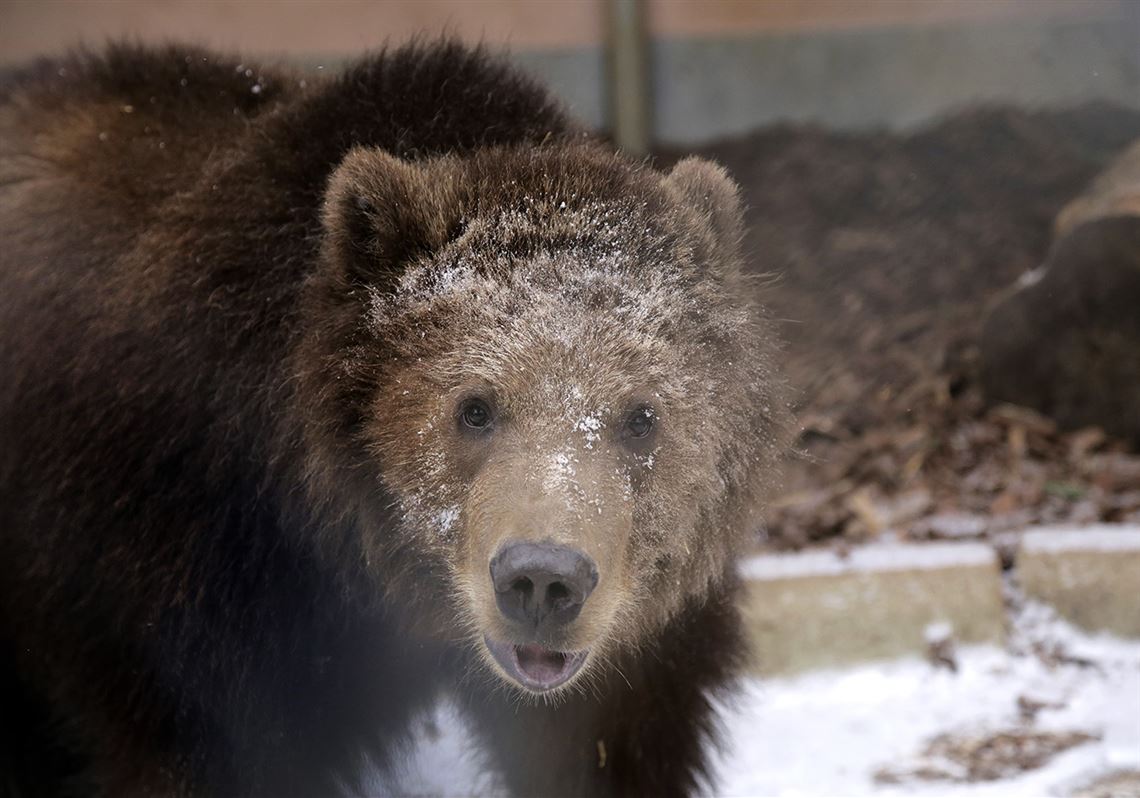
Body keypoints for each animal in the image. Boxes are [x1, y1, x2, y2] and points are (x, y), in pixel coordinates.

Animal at [0, 42, 784, 798]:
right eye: (474, 408)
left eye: (641, 416)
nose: (542, 580)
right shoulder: (190, 573)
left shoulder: (631, 644)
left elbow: (608, 746)